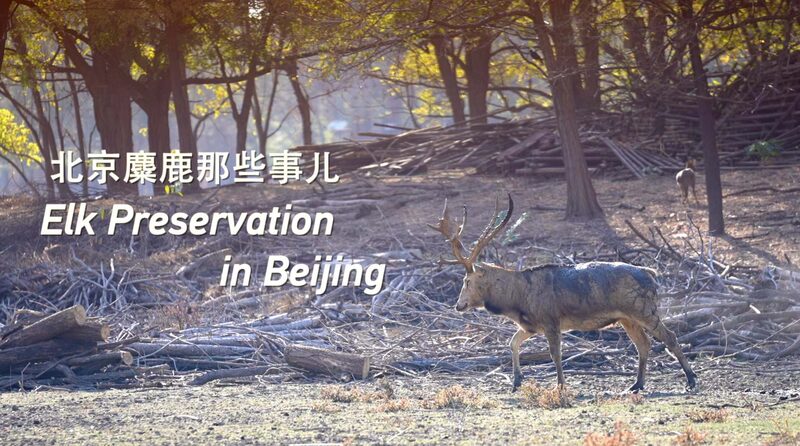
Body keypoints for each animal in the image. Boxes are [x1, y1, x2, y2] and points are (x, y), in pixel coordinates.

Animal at [429, 194, 697, 392]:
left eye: (466, 280)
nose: (458, 305)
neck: (517, 300)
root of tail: (651, 273)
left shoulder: (551, 319)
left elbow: (555, 354)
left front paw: (560, 385)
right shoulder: (531, 325)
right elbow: (512, 342)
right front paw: (516, 382)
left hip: (643, 309)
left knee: (670, 336)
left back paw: (691, 379)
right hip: (626, 318)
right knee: (644, 344)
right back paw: (636, 385)